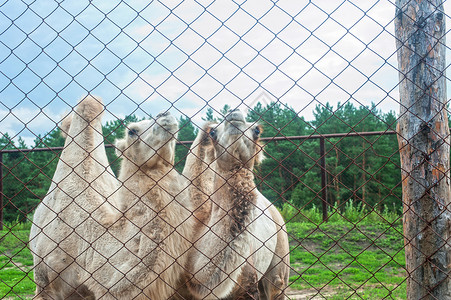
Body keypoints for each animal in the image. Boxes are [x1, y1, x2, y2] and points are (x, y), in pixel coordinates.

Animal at [183, 110, 290, 300]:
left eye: (256, 130)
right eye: (213, 133)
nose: (234, 114)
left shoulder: (247, 286)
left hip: (280, 255)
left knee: (277, 283)